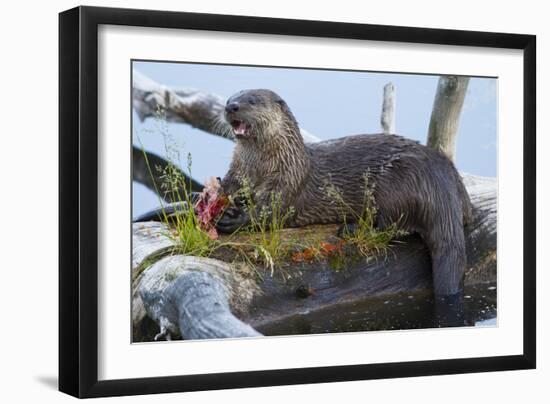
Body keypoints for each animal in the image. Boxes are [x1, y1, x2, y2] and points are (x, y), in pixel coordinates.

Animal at [217, 89, 474, 296]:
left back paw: (351, 229)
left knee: (390, 227)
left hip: (396, 184)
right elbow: (227, 188)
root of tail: (441, 187)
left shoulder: (286, 184)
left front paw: (233, 219)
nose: (231, 107)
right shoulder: (237, 174)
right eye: (229, 98)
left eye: (252, 100)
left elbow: (269, 213)